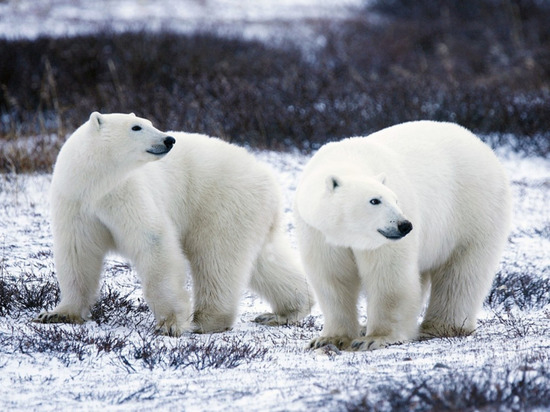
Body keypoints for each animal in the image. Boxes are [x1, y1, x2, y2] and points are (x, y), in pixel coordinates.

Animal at [35, 112, 314, 334]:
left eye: (149, 122)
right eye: (136, 127)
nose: (168, 139)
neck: (95, 184)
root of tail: (269, 178)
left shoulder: (126, 193)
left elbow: (153, 242)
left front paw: (169, 324)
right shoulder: (75, 202)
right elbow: (77, 253)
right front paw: (57, 314)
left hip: (222, 202)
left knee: (216, 257)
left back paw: (206, 320)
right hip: (250, 213)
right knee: (264, 261)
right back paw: (286, 311)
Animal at [296, 120, 516, 350]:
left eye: (395, 199)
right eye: (375, 200)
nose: (404, 225)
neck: (349, 158)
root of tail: (482, 145)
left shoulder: (383, 240)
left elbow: (389, 275)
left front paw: (374, 338)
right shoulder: (318, 233)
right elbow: (332, 278)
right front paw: (329, 339)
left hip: (473, 210)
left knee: (461, 272)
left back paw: (440, 327)